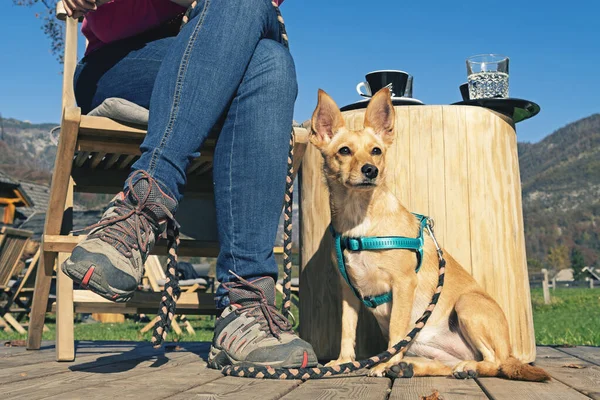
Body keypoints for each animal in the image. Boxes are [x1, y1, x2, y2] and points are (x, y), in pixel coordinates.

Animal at [310, 88, 548, 382]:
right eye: (344, 150)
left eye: (376, 151)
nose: (370, 170)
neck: (360, 220)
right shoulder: (349, 292)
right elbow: (347, 330)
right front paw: (343, 362)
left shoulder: (403, 284)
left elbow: (396, 333)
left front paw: (385, 363)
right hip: (434, 347)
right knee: (447, 365)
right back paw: (412, 366)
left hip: (467, 305)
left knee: (495, 362)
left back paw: (463, 367)